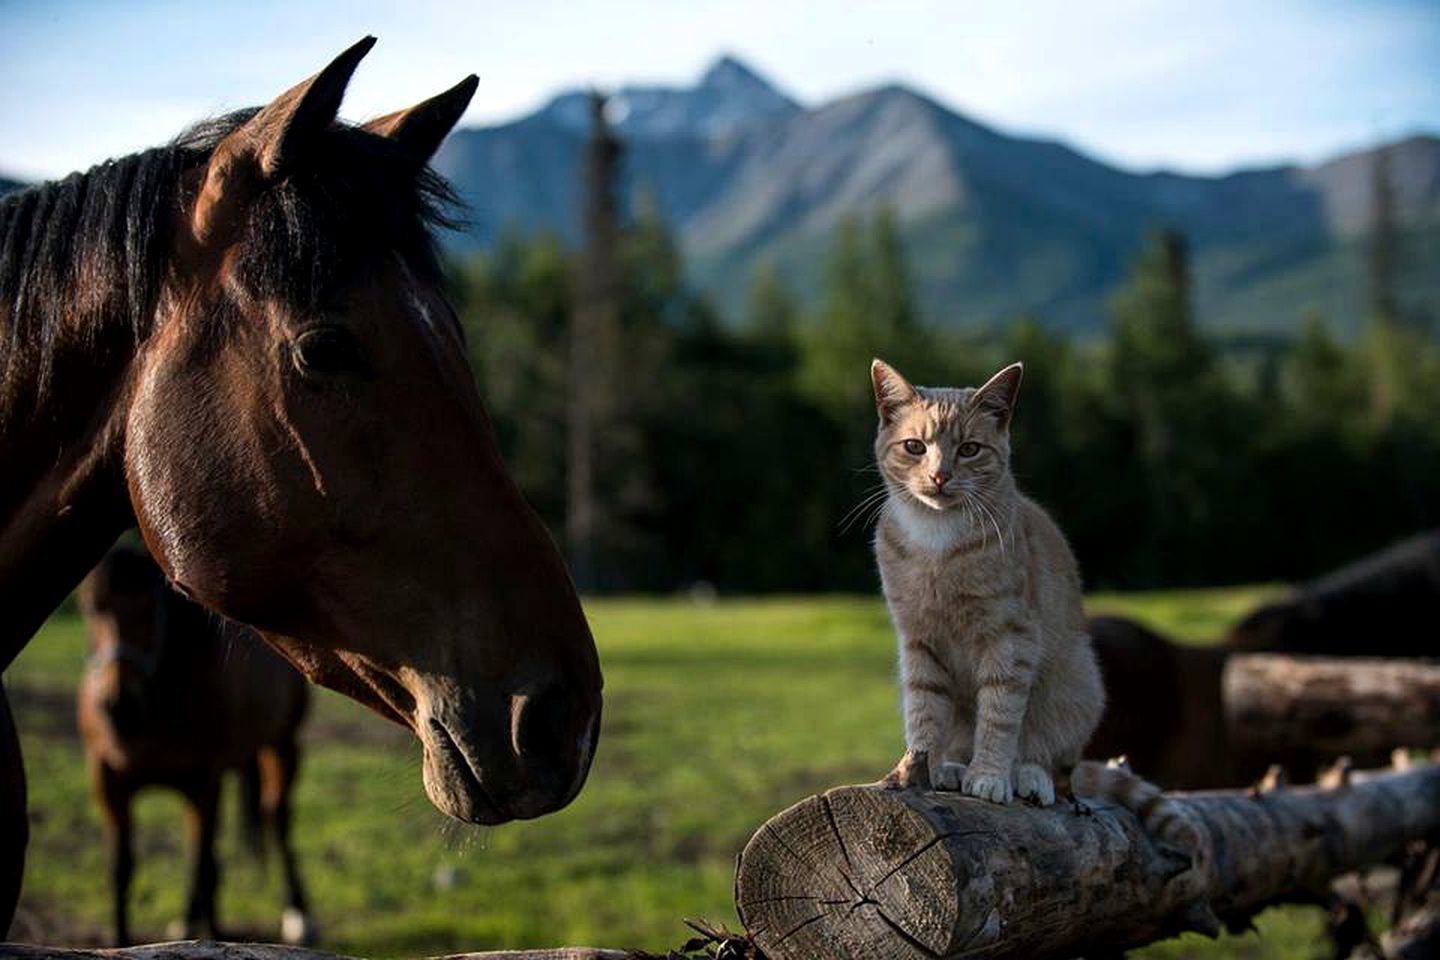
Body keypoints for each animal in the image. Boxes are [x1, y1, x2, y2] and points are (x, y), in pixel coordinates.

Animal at [78, 546, 312, 944]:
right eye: (93, 608)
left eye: (149, 608)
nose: (119, 705)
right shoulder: (108, 778)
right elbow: (122, 867)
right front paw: (120, 941)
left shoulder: (205, 779)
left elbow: (205, 865)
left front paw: (215, 935)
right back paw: (188, 920)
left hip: (282, 746)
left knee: (276, 818)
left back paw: (297, 913)